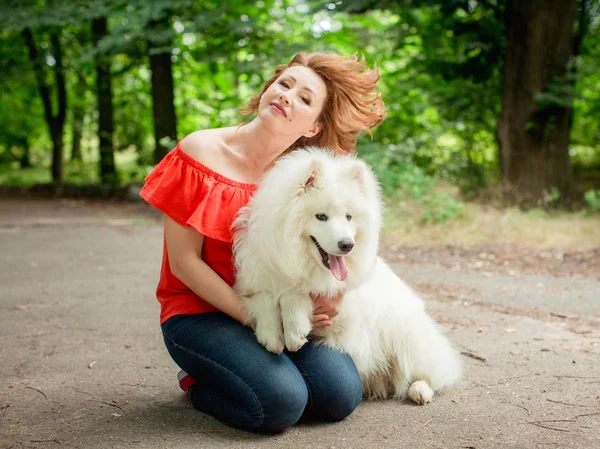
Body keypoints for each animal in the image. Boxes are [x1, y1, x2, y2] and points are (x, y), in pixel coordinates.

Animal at [232, 149, 462, 404]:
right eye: (321, 216)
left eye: (349, 217)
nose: (347, 245)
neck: (296, 258)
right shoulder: (256, 275)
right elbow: (264, 297)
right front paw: (271, 335)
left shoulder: (335, 293)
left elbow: (295, 292)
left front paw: (294, 330)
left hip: (406, 336)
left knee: (429, 371)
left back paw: (420, 389)